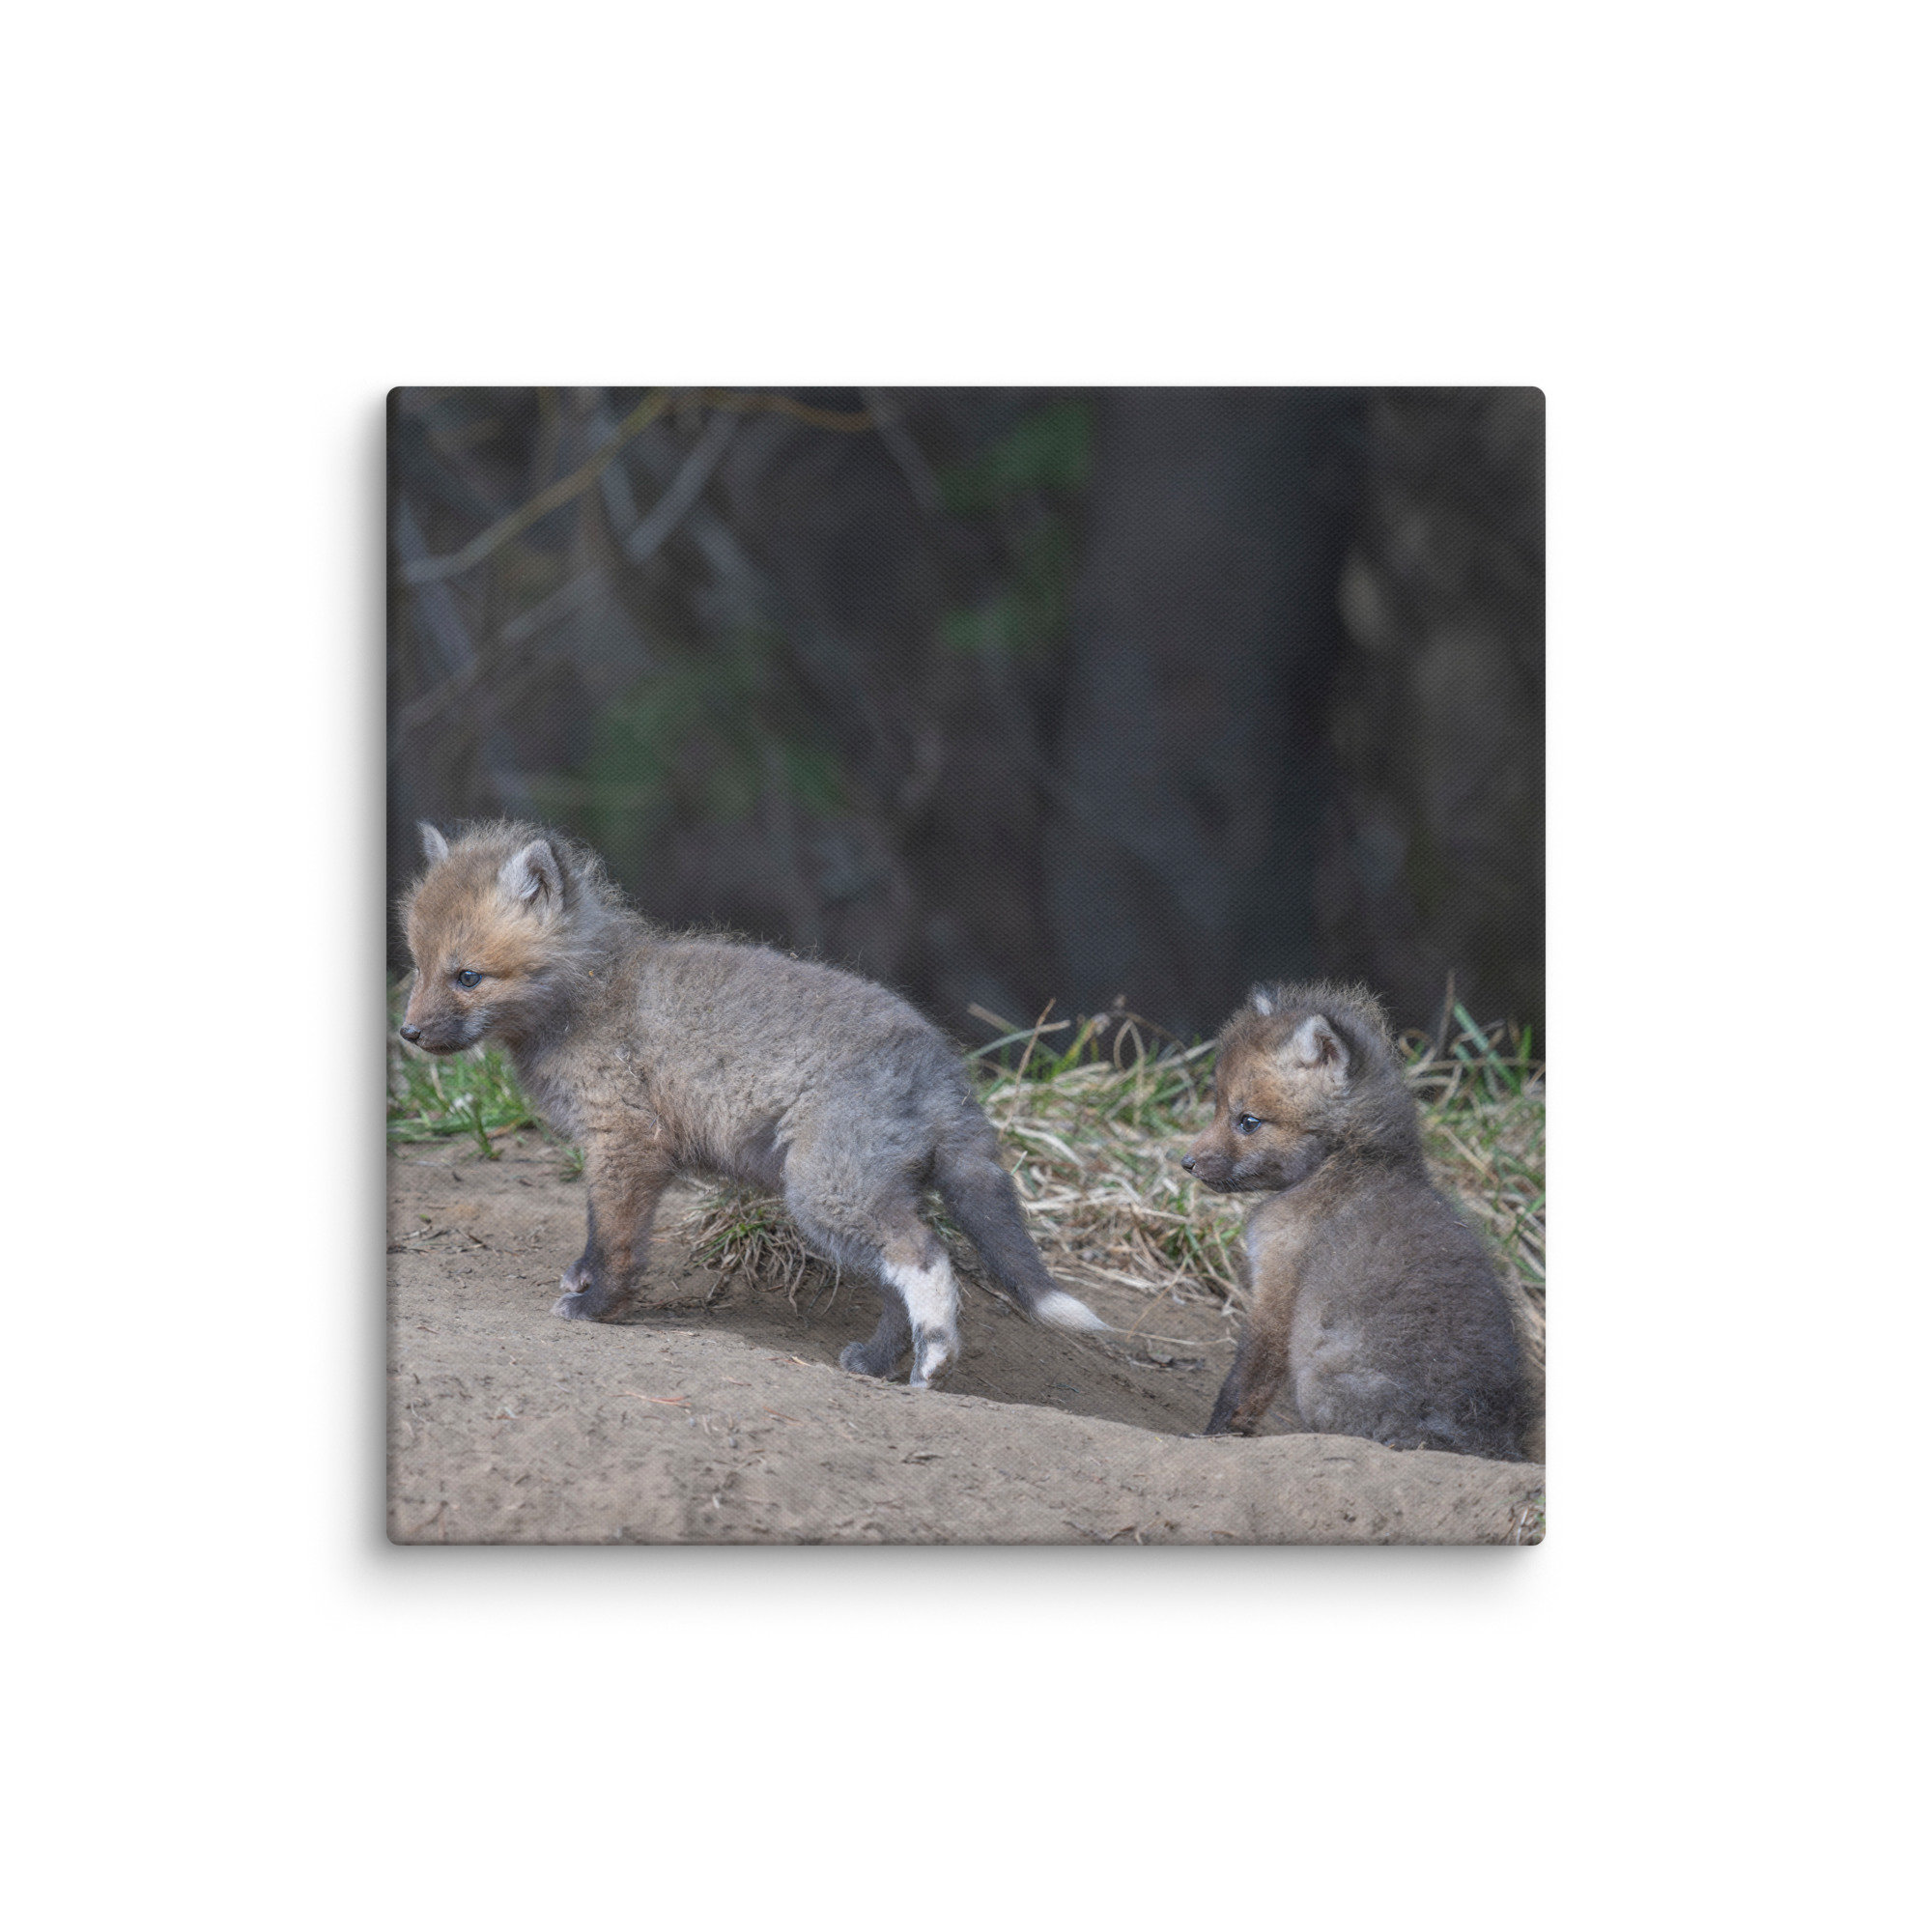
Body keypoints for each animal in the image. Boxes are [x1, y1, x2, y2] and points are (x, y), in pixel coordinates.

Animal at [397, 820, 1107, 1388]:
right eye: (418, 966)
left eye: (468, 977)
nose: (406, 1034)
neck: (589, 994)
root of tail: (944, 1067)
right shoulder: (621, 1149)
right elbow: (601, 1232)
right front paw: (584, 1281)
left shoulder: (626, 1141)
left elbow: (615, 1239)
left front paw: (598, 1306)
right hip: (857, 1200)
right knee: (895, 1285)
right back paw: (879, 1364)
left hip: (825, 1193)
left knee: (926, 1256)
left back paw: (935, 1360)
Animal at [1182, 981, 1524, 1459]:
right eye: (1217, 1108)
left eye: (1248, 1121)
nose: (1186, 1163)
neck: (1347, 1161)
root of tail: (1481, 1441)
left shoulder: (1277, 1290)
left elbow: (1243, 1385)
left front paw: (1213, 1437)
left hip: (1317, 1382)